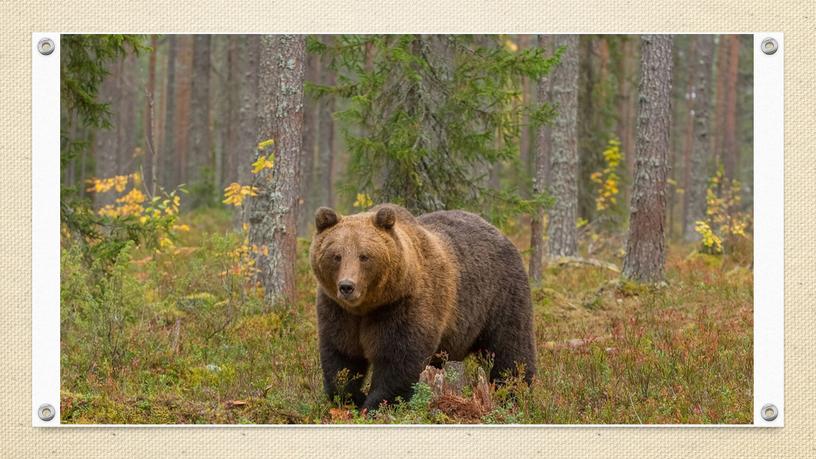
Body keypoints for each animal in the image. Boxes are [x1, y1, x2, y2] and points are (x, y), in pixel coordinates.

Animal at [308, 203, 536, 412]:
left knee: (511, 348)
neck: (367, 306)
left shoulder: (403, 305)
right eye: (336, 255)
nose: (347, 286)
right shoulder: (338, 310)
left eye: (364, 256)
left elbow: (398, 358)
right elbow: (341, 355)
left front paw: (375, 405)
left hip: (500, 295)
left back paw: (515, 391)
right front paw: (349, 397)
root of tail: (497, 230)